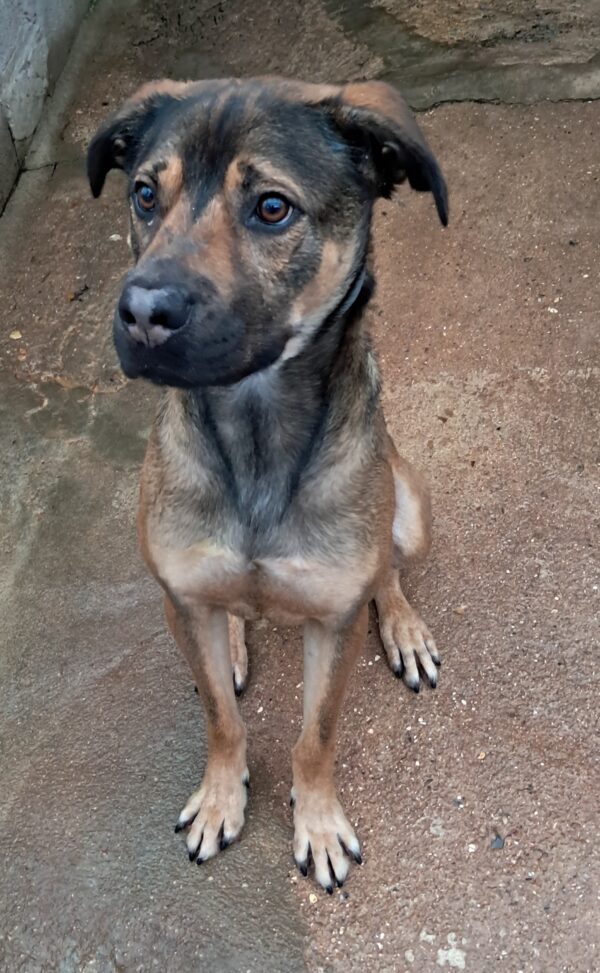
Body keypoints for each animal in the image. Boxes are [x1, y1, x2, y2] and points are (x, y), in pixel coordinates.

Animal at [87, 76, 448, 892]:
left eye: (273, 207)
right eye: (145, 194)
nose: (142, 313)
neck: (254, 435)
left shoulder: (334, 623)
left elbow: (317, 735)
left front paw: (317, 823)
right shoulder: (183, 590)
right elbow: (222, 718)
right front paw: (223, 795)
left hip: (410, 506)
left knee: (388, 568)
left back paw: (403, 624)